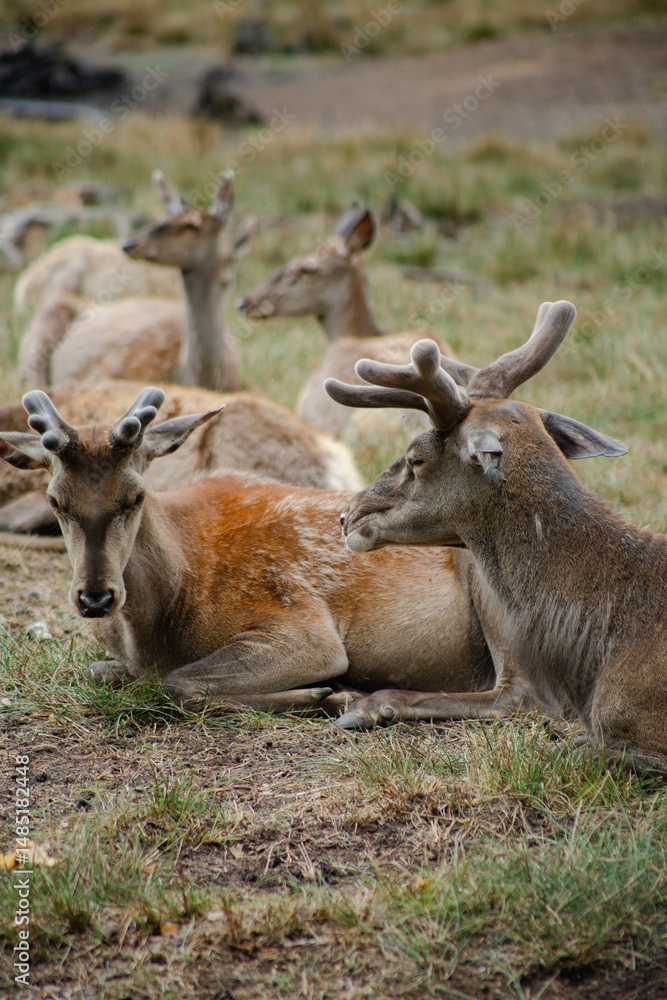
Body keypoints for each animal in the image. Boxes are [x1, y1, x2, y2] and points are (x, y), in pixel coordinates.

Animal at [0, 388, 497, 714]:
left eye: (136, 495)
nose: (96, 597)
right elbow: (101, 671)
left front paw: (330, 691)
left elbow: (178, 681)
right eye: (56, 501)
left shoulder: (304, 629)